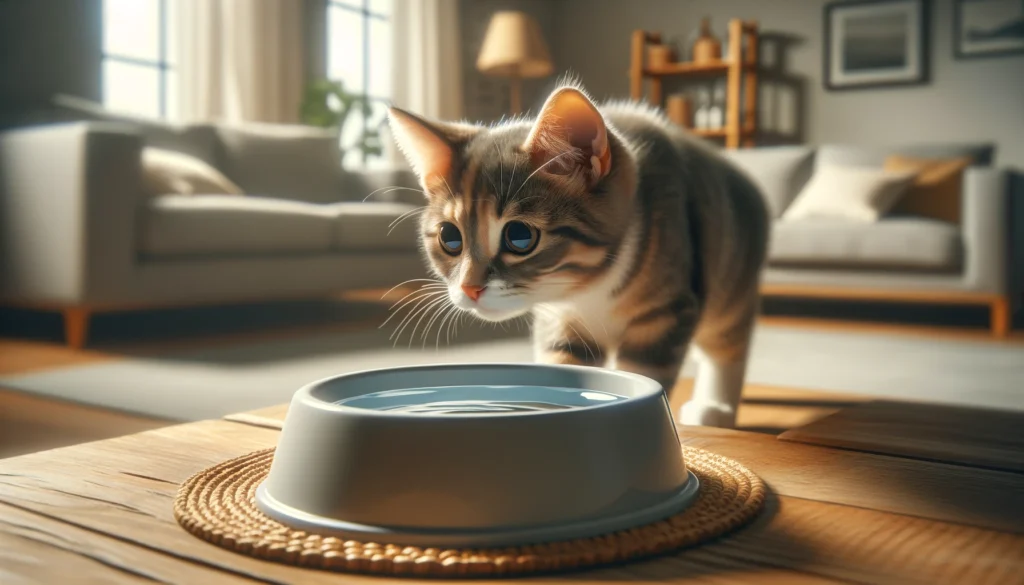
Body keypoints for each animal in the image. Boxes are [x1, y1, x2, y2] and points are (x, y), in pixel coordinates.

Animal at [385, 79, 770, 428]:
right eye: (450, 238)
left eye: (520, 237)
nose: (469, 287)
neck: (589, 289)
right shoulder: (560, 324)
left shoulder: (664, 315)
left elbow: (644, 373)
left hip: (729, 280)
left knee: (728, 342)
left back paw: (715, 407)